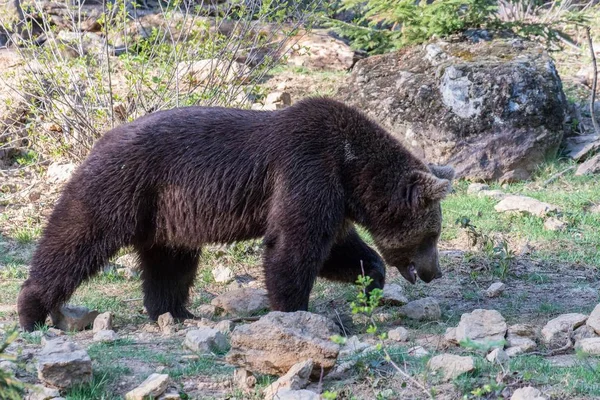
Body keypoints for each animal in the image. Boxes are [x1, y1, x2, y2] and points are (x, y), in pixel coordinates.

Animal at [17, 97, 454, 332]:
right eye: (432, 235)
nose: (435, 272)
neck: (353, 170)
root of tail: (101, 138)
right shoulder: (306, 167)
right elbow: (293, 244)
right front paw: (295, 311)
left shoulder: (331, 193)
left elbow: (335, 248)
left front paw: (371, 280)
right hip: (122, 185)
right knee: (78, 235)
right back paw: (33, 310)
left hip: (166, 215)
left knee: (169, 262)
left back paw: (175, 311)